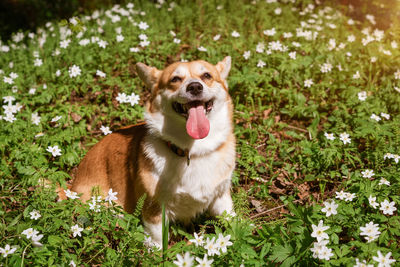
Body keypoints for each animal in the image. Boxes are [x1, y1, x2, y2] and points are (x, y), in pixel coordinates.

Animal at [69, 56, 234, 247]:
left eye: (207, 75)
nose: (194, 87)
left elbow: (232, 222)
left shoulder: (221, 199)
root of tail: (71, 188)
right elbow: (157, 242)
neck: (192, 151)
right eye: (175, 79)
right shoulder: (154, 209)